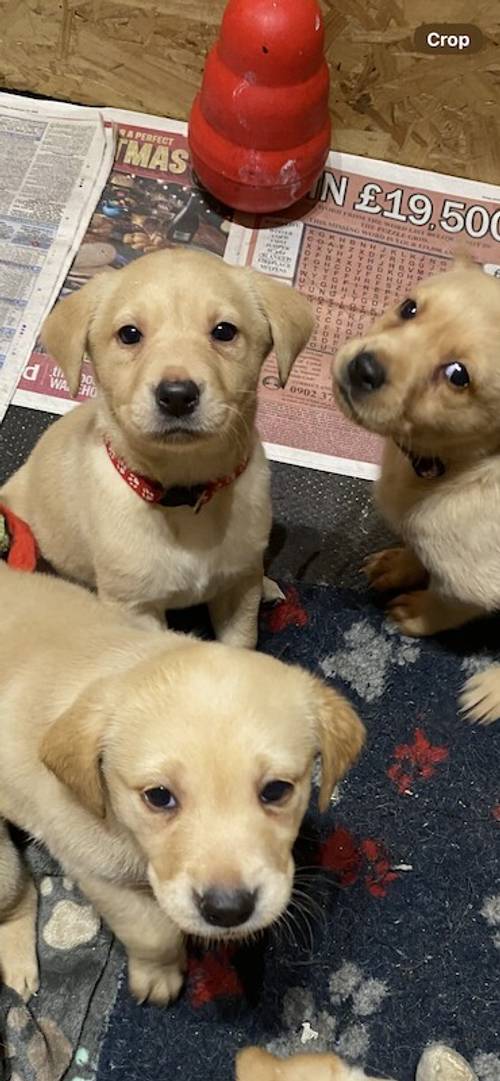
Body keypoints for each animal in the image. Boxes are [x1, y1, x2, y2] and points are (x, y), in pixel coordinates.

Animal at [0, 248, 313, 644]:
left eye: (224, 331)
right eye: (129, 334)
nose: (177, 396)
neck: (184, 493)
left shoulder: (237, 591)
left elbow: (242, 642)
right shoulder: (135, 607)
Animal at [0, 566, 365, 1003]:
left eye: (276, 790)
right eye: (159, 797)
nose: (228, 911)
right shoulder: (96, 872)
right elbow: (151, 933)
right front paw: (159, 975)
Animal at [334, 257, 500, 722]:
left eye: (458, 376)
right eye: (409, 307)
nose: (363, 368)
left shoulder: (476, 584)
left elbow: (447, 603)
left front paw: (416, 612)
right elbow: (418, 544)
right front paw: (398, 565)